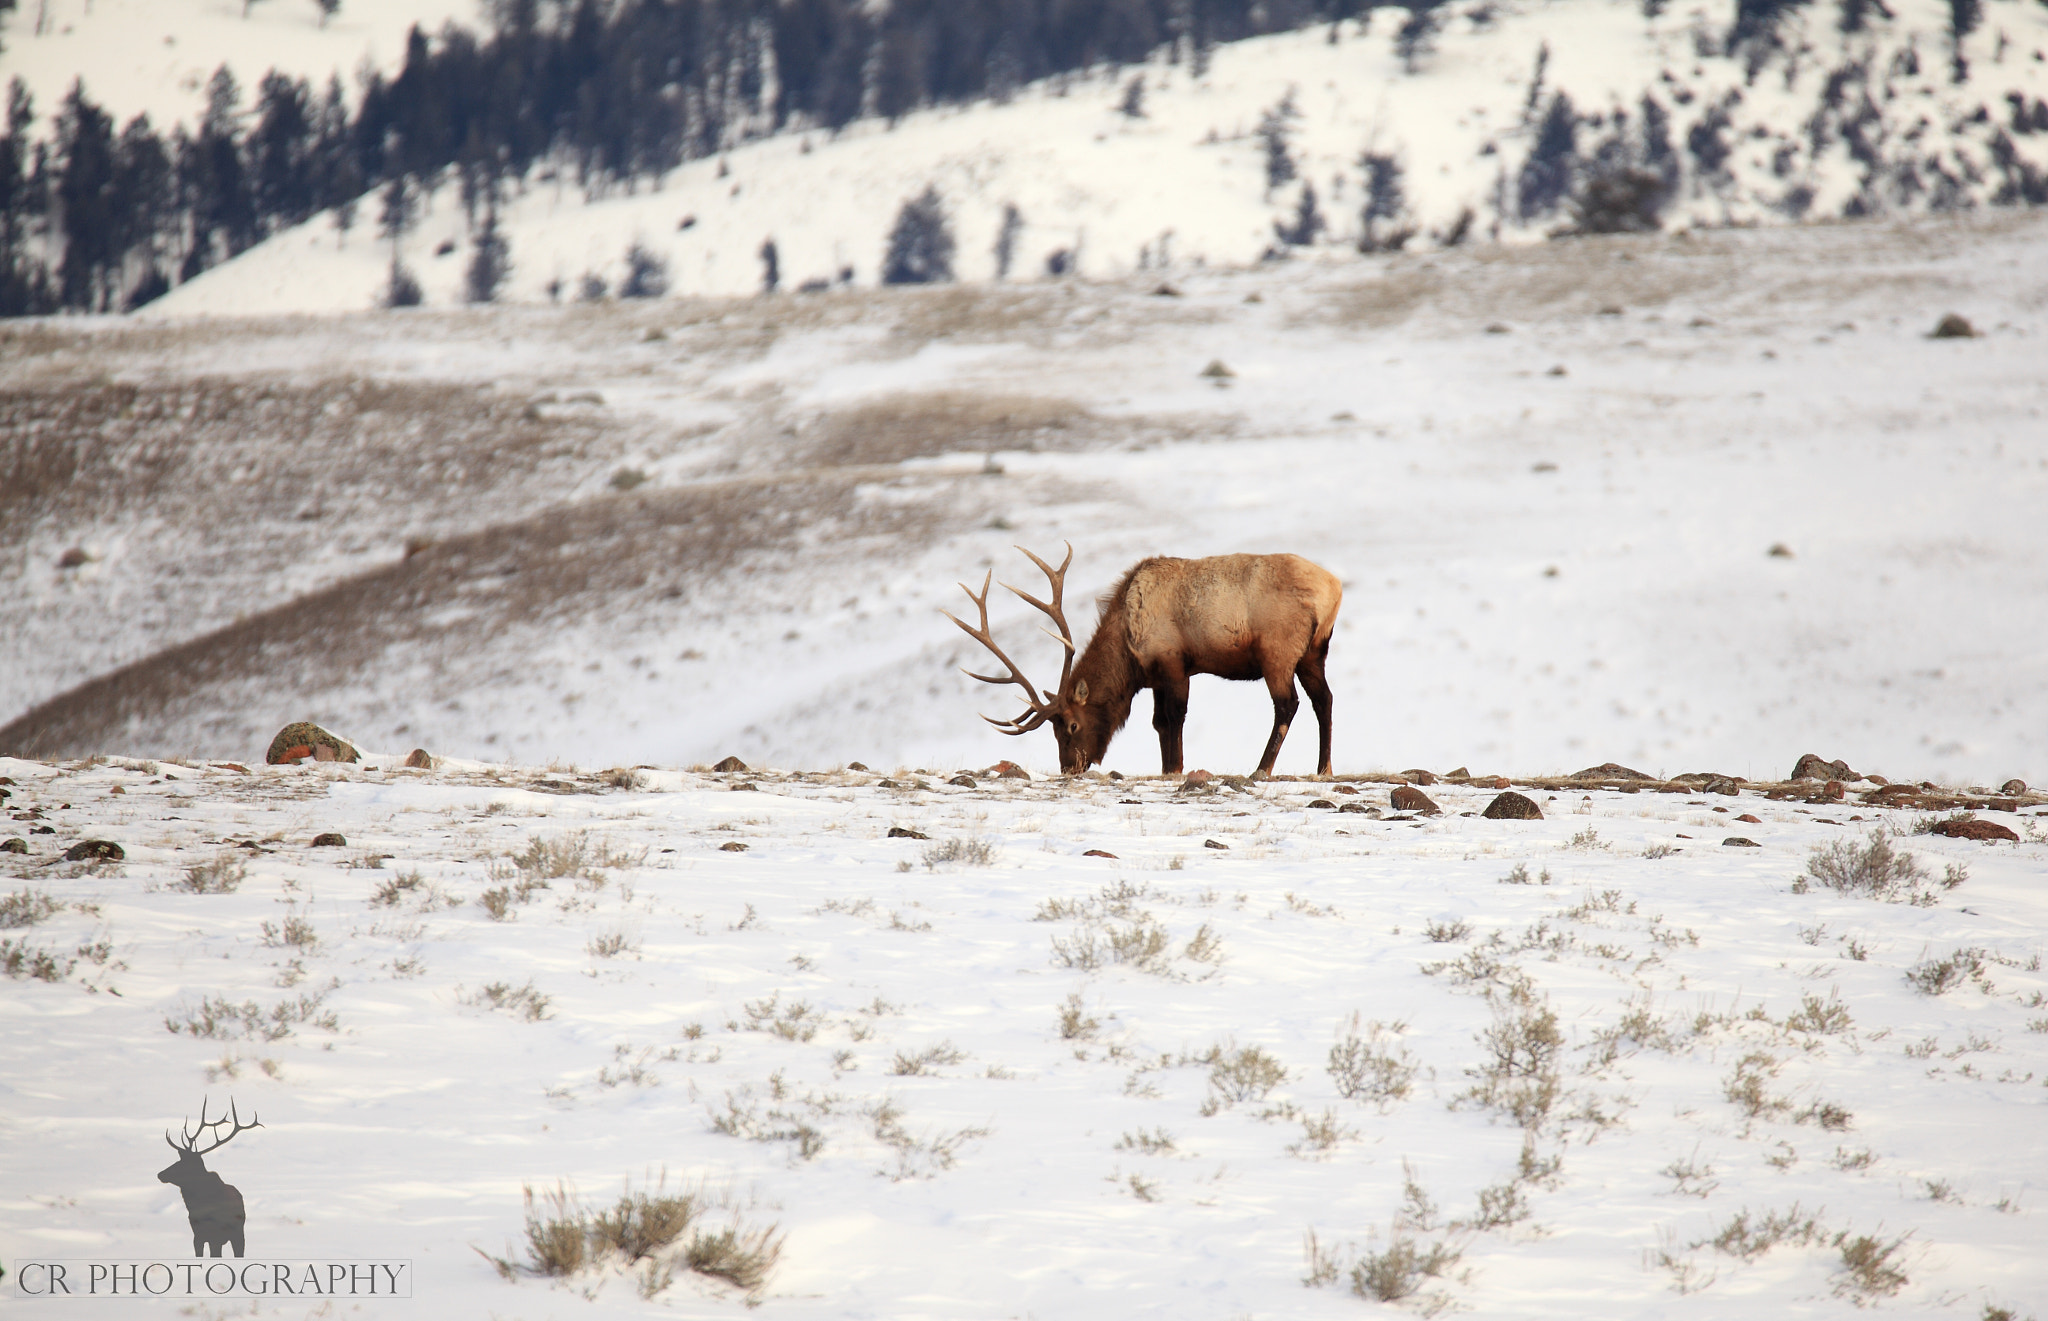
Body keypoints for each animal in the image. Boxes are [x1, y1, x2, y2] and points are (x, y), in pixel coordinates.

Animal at [944, 545, 1341, 778]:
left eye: (1071, 725)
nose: (1069, 768)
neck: (1128, 656)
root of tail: (1333, 590)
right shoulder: (1155, 677)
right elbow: (1158, 723)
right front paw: (1166, 767)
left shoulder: (1173, 662)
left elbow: (1175, 717)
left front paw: (1176, 769)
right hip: (1313, 653)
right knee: (1324, 699)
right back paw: (1324, 768)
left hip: (1277, 650)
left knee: (1288, 704)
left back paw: (1261, 769)